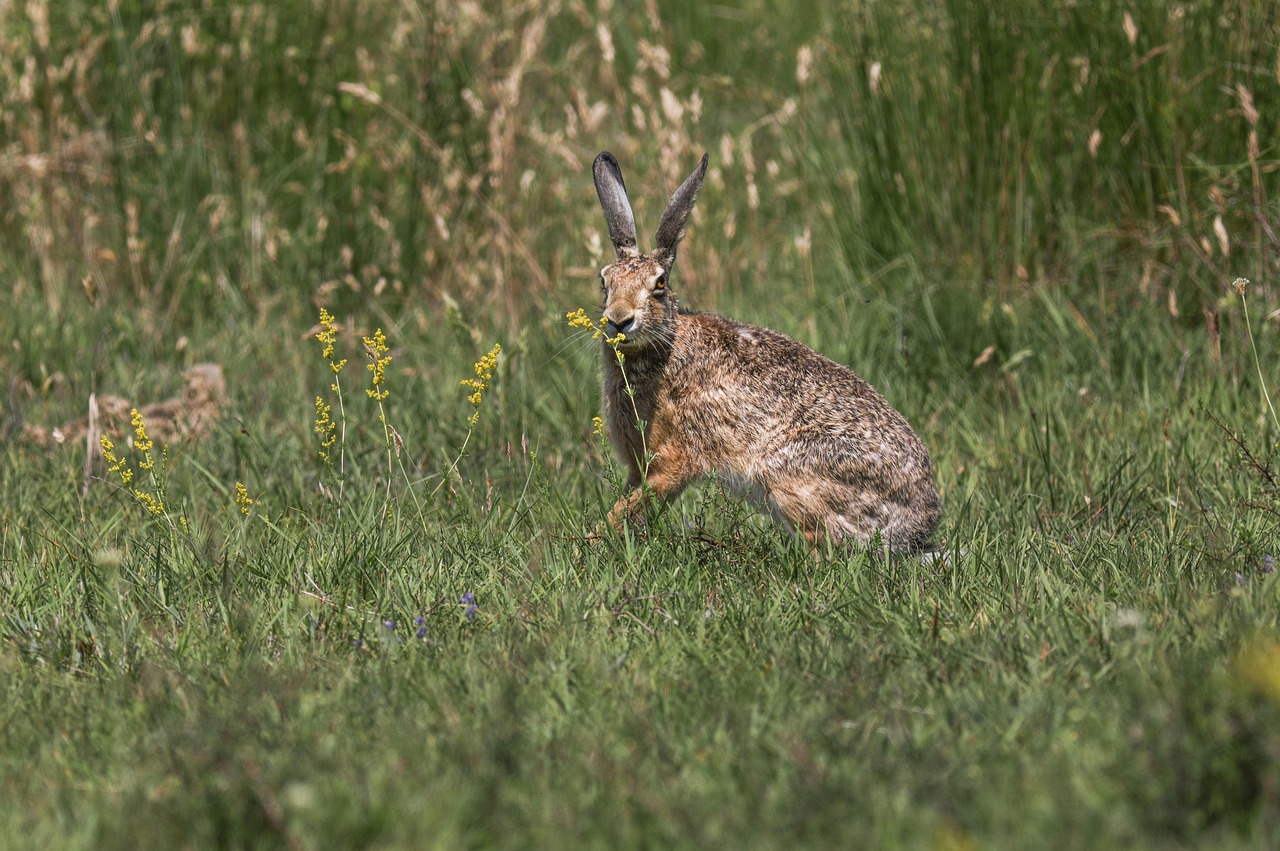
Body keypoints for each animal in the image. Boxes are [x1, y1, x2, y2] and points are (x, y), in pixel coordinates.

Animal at [589, 151, 940, 555]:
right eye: (605, 280)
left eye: (659, 284)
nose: (619, 320)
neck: (665, 344)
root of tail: (918, 529)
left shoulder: (673, 459)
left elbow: (630, 506)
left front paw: (590, 542)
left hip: (788, 474)